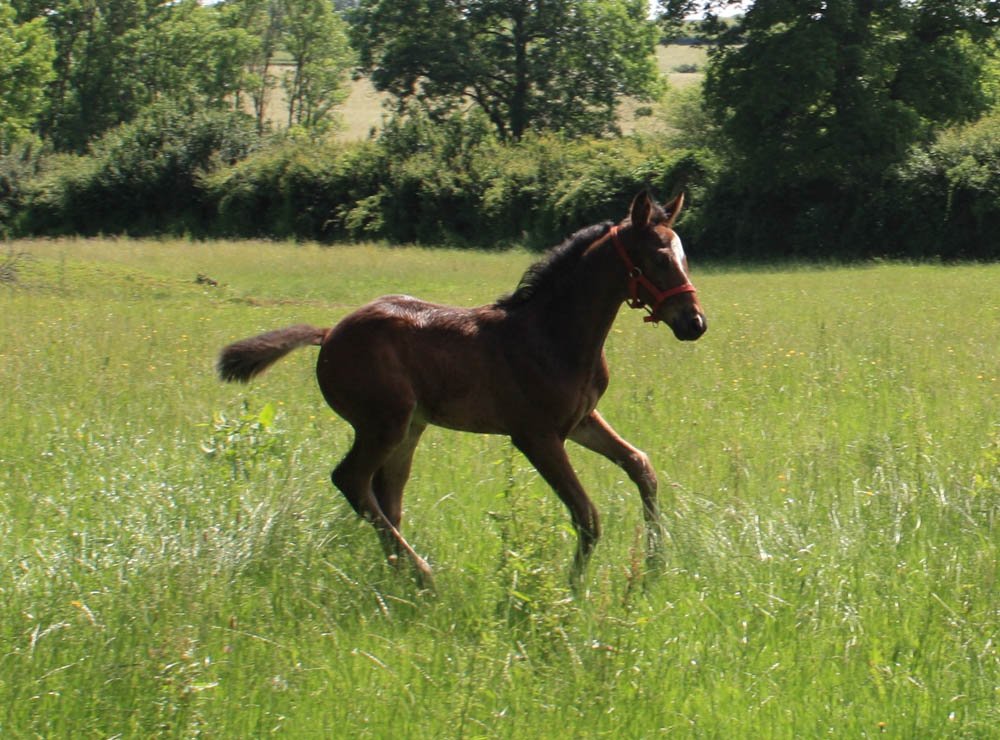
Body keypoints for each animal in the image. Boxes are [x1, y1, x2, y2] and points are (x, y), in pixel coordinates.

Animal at [217, 191, 707, 587]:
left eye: (684, 257)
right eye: (659, 259)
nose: (694, 323)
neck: (552, 333)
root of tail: (328, 333)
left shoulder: (581, 420)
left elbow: (641, 466)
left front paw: (655, 564)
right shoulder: (535, 436)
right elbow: (586, 514)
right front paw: (572, 588)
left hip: (409, 428)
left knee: (387, 498)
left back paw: (398, 575)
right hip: (383, 423)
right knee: (352, 480)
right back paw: (422, 576)